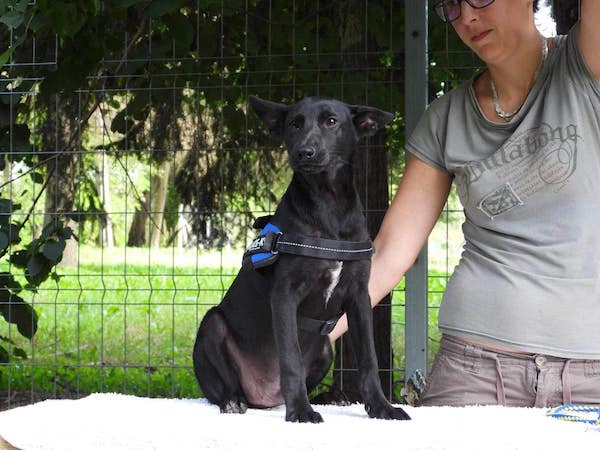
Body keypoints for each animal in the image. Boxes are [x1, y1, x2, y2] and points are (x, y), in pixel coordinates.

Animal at [193, 96, 410, 423]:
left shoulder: (359, 296)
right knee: (222, 385)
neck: (329, 204)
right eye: (294, 124)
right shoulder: (285, 295)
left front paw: (381, 407)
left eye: (331, 121)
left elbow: (369, 360)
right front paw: (300, 411)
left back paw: (331, 397)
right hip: (212, 325)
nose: (304, 152)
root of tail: (264, 398)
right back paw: (235, 400)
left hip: (325, 349)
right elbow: (291, 359)